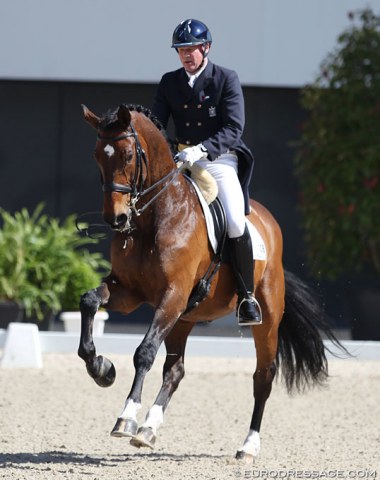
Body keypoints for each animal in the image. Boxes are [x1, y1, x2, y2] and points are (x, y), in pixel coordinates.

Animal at [78, 103, 342, 464]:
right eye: (95, 156)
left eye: (129, 154)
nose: (116, 219)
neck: (154, 219)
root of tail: (266, 220)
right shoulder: (129, 292)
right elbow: (89, 301)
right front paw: (102, 368)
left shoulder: (172, 296)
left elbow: (144, 352)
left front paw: (126, 418)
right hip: (184, 318)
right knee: (175, 370)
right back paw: (149, 430)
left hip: (265, 318)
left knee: (263, 377)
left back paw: (248, 446)